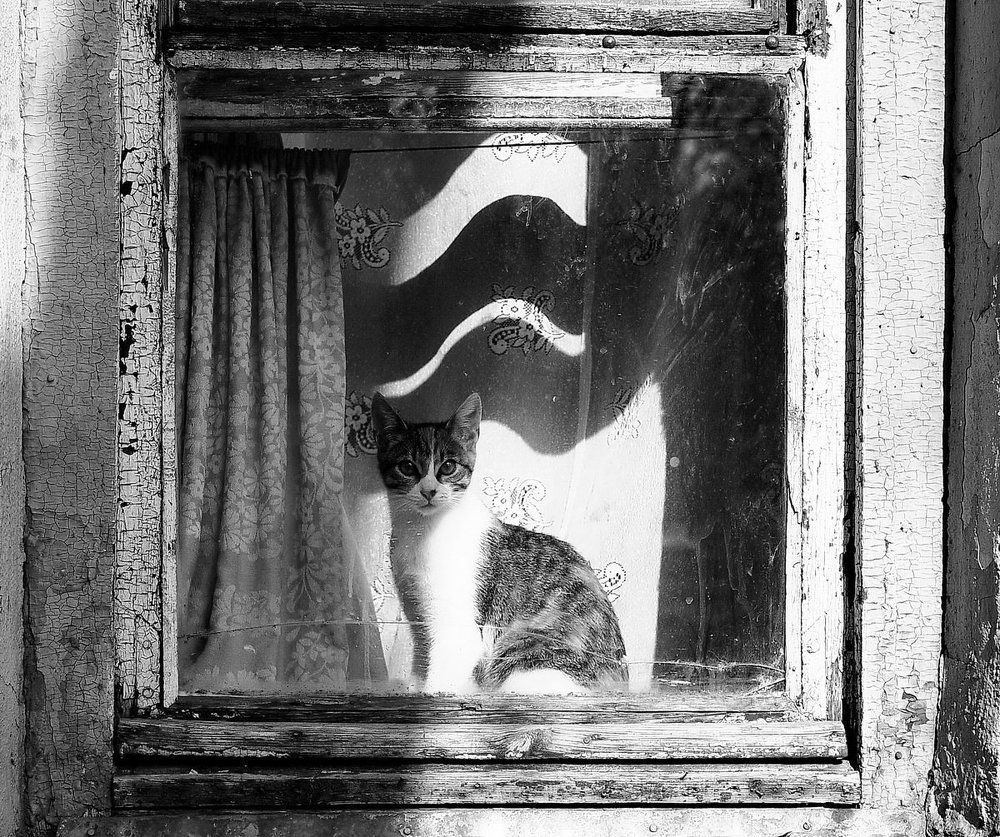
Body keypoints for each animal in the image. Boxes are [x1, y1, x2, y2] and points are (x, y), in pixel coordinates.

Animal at [370, 391, 629, 694]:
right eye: (407, 467)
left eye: (448, 467)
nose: (429, 491)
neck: (422, 531)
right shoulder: (418, 604)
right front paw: (413, 684)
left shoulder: (459, 629)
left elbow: (442, 677)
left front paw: (430, 695)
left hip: (523, 660)